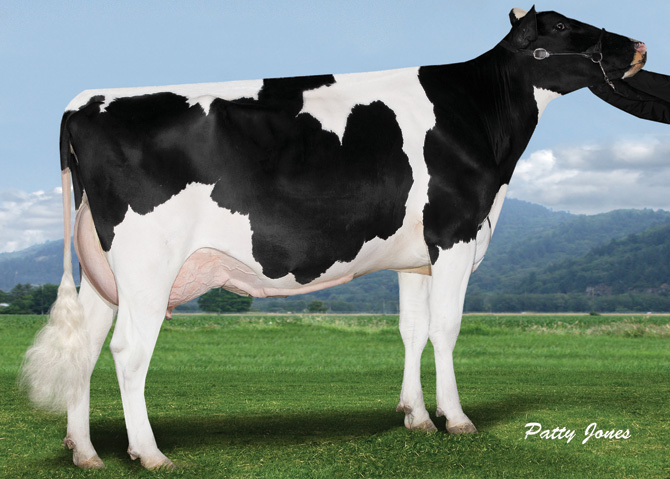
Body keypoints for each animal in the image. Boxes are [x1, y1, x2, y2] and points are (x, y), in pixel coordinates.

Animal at [21, 7, 647, 469]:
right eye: (562, 26)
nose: (639, 46)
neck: (478, 116)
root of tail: (85, 101)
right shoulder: (454, 235)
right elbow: (444, 329)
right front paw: (457, 419)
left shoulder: (415, 257)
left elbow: (412, 330)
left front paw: (417, 417)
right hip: (148, 263)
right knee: (128, 350)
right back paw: (149, 453)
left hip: (106, 272)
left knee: (87, 346)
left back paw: (85, 452)